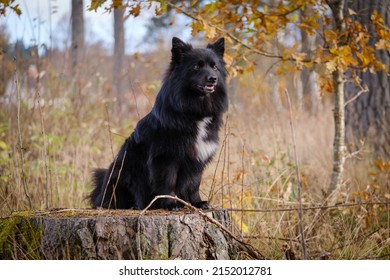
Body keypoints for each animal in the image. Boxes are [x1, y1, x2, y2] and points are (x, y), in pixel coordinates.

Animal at [89, 36, 227, 209]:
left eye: (214, 67)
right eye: (196, 67)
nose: (213, 78)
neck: (193, 112)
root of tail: (100, 194)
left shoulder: (197, 159)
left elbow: (193, 183)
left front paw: (197, 203)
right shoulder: (165, 157)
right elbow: (168, 182)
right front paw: (171, 204)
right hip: (123, 176)